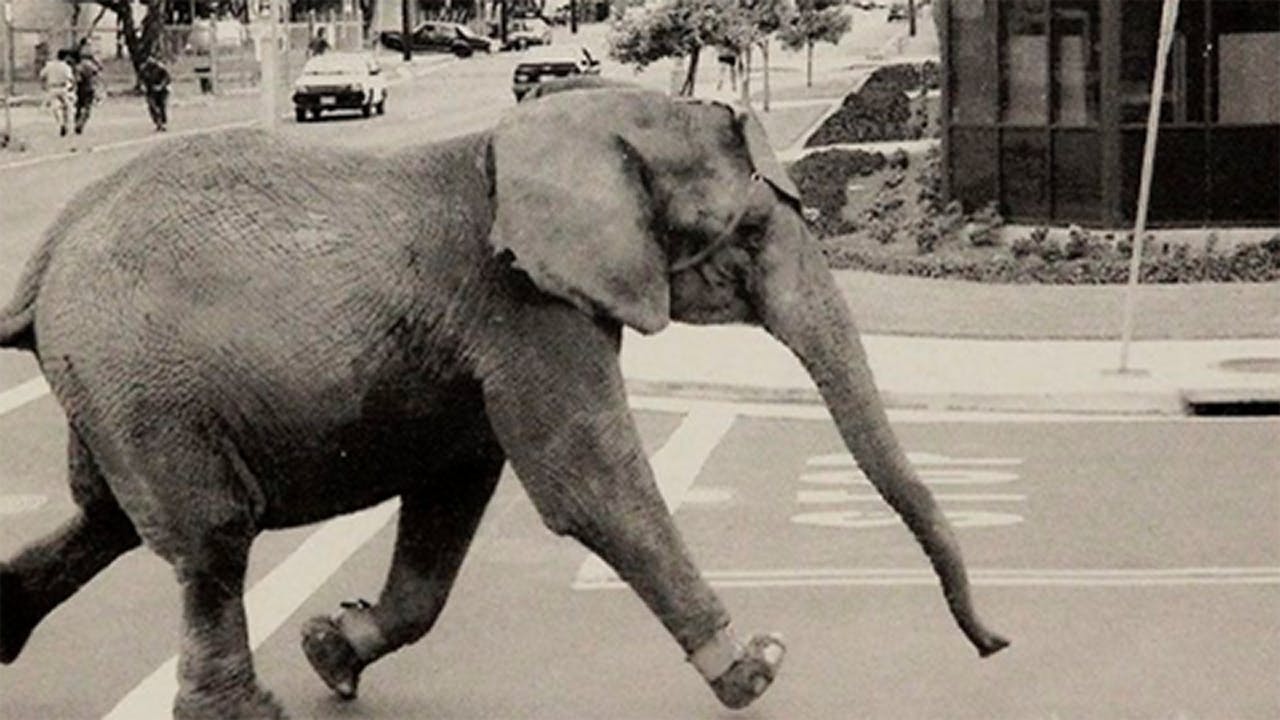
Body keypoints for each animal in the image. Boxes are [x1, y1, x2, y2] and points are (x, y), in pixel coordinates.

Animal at [0, 82, 1008, 718]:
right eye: (753, 231)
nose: (995, 646)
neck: (559, 125)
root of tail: (42, 263)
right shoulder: (524, 306)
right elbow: (587, 485)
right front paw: (756, 669)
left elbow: (454, 495)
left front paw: (333, 648)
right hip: (140, 378)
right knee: (210, 539)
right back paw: (245, 713)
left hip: (115, 386)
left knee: (109, 519)